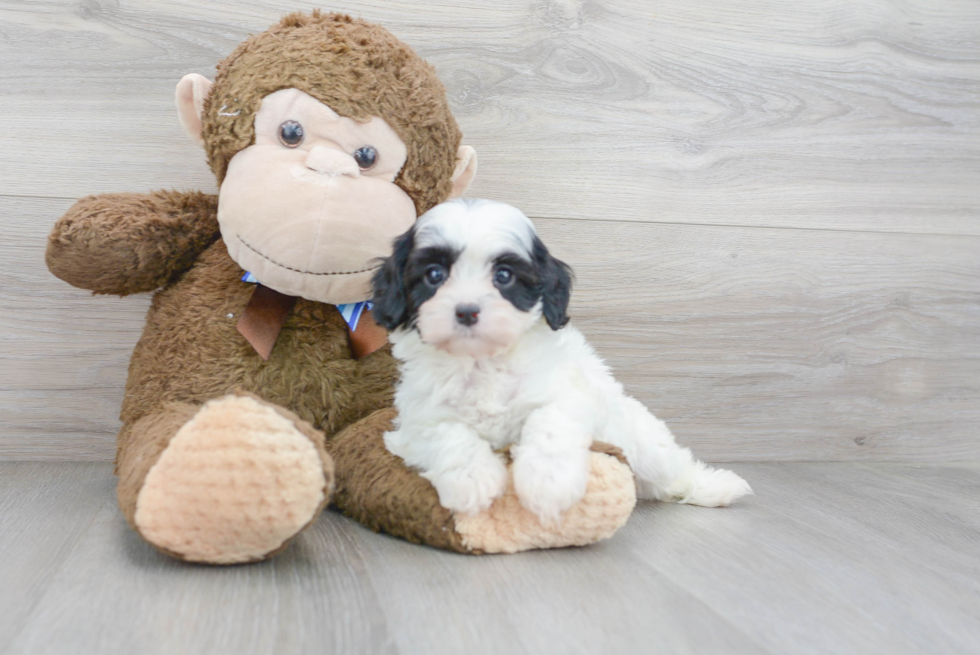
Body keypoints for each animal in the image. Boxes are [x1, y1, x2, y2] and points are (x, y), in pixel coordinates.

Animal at [372, 197, 756, 524]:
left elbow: (549, 426)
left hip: (644, 442)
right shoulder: (418, 419)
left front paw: (548, 482)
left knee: (672, 469)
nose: (467, 311)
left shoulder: (565, 391)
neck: (483, 362)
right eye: (434, 275)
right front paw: (472, 479)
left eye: (504, 276)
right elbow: (448, 435)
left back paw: (715, 487)